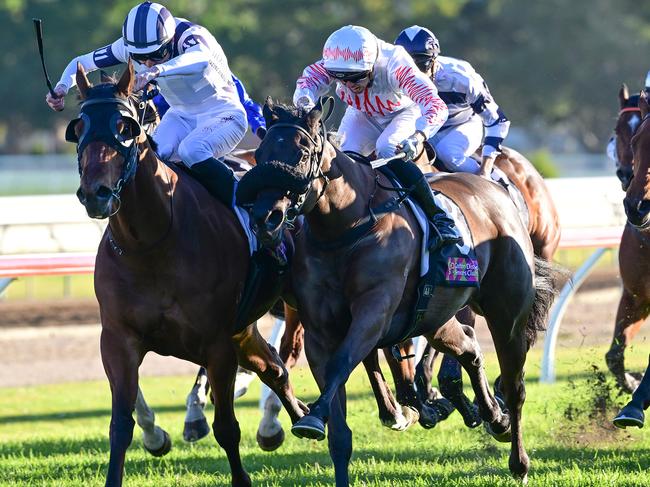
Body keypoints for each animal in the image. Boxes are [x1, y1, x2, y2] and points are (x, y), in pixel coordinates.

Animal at [67, 61, 306, 487]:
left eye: (124, 126)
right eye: (78, 128)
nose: (95, 193)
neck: (151, 243)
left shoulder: (217, 342)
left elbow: (227, 427)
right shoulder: (119, 339)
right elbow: (120, 426)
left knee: (289, 354)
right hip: (244, 328)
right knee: (275, 368)